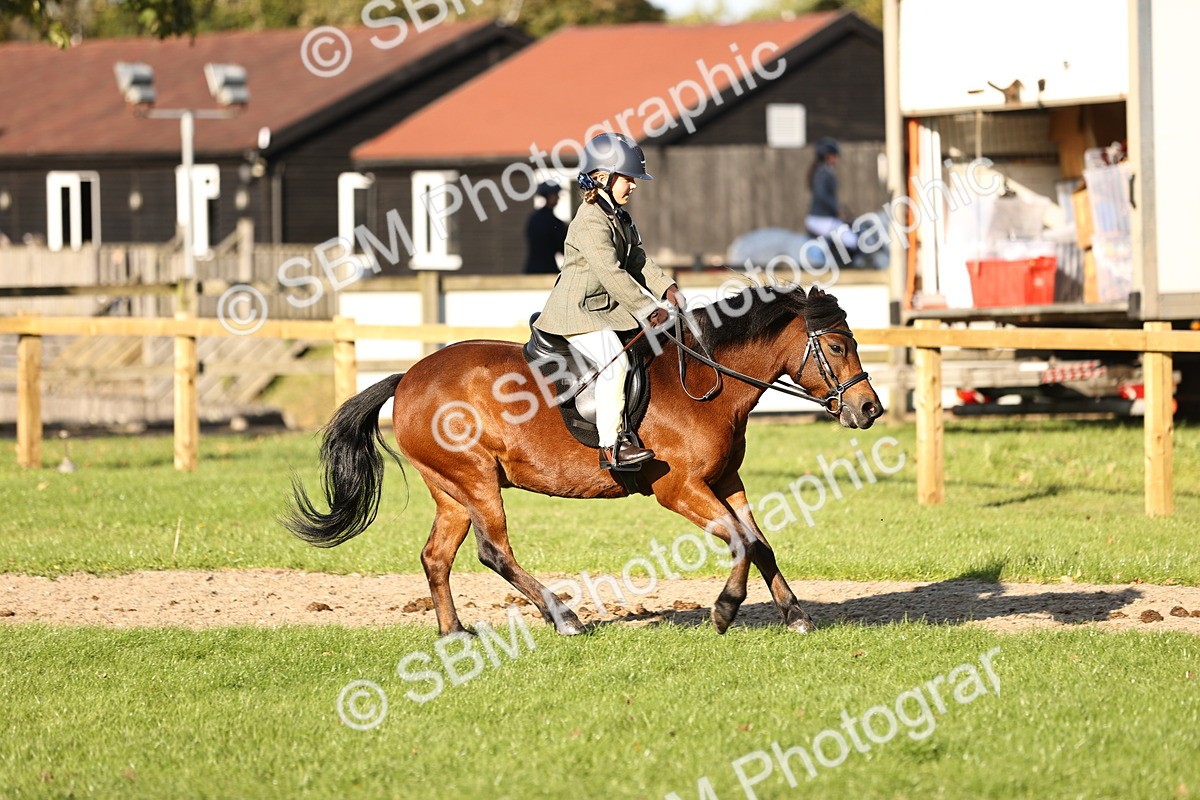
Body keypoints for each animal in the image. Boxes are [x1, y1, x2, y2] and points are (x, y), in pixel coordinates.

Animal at [285, 285, 884, 636]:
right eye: (836, 348)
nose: (869, 408)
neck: (706, 381)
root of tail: (407, 376)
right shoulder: (679, 489)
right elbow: (740, 540)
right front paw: (724, 609)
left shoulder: (726, 479)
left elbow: (760, 543)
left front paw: (796, 615)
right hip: (476, 479)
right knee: (493, 551)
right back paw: (565, 617)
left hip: (450, 489)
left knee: (437, 556)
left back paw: (454, 631)